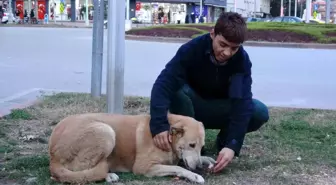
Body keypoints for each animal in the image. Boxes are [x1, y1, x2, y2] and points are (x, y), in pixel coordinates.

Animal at [47, 112, 215, 184]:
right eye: (191, 145)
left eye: (201, 147)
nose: (198, 167)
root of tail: (52, 154)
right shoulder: (144, 167)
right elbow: (178, 168)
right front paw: (194, 176)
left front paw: (207, 159)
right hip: (105, 131)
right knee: (81, 171)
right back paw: (108, 175)